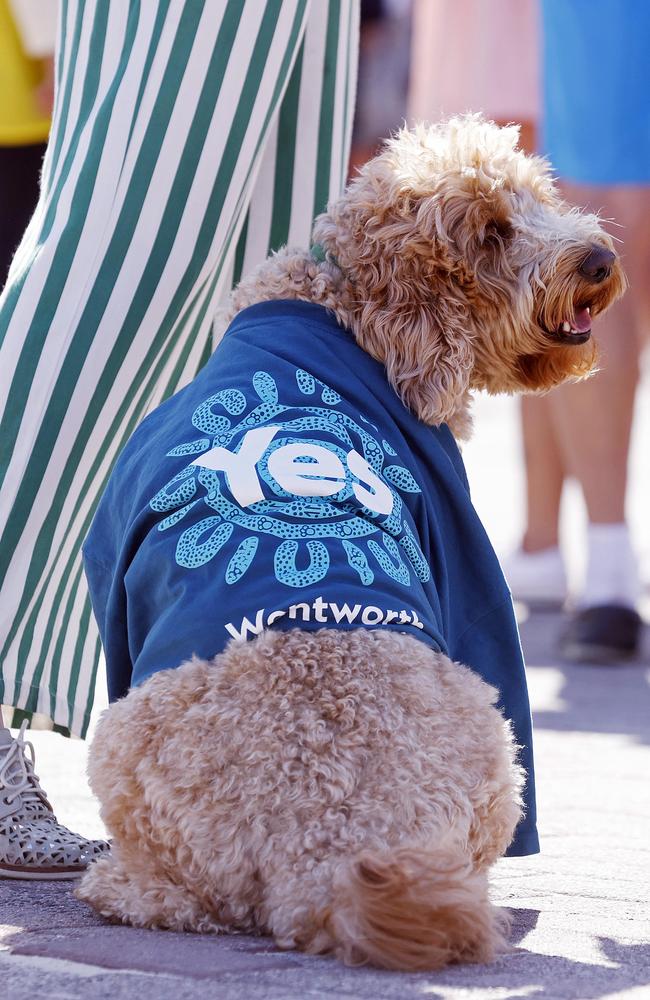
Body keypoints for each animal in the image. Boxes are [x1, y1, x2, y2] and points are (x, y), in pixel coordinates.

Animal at [76, 117, 624, 968]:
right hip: (494, 742)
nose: (597, 259)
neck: (341, 311)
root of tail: (332, 842)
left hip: (128, 733)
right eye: (492, 232)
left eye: (540, 197)